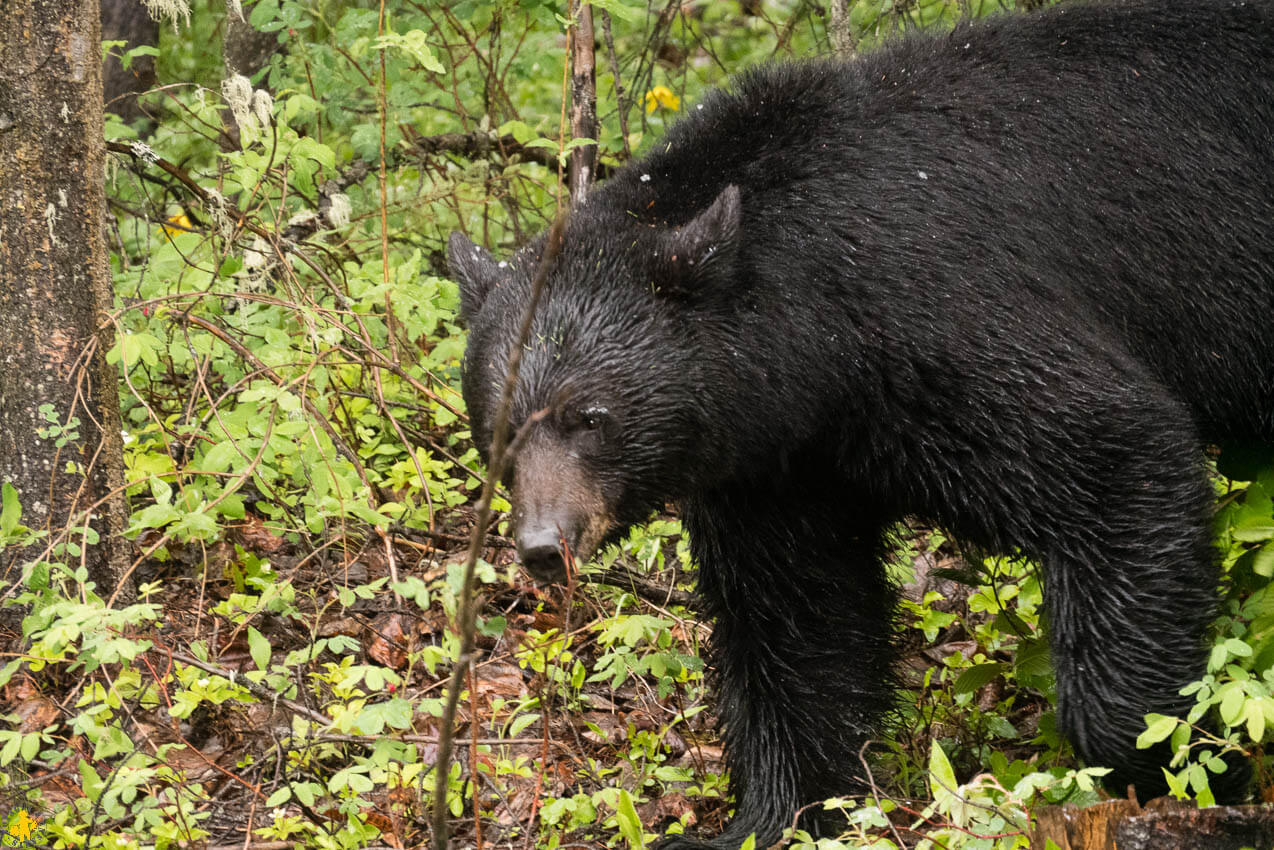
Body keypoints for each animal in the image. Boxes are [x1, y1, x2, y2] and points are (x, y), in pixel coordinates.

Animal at [450, 1, 1274, 846]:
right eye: (498, 436)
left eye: (590, 416)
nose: (543, 545)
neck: (815, 344)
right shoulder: (773, 460)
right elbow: (797, 620)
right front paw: (772, 813)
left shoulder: (937, 316)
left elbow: (1113, 453)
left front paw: (1169, 763)